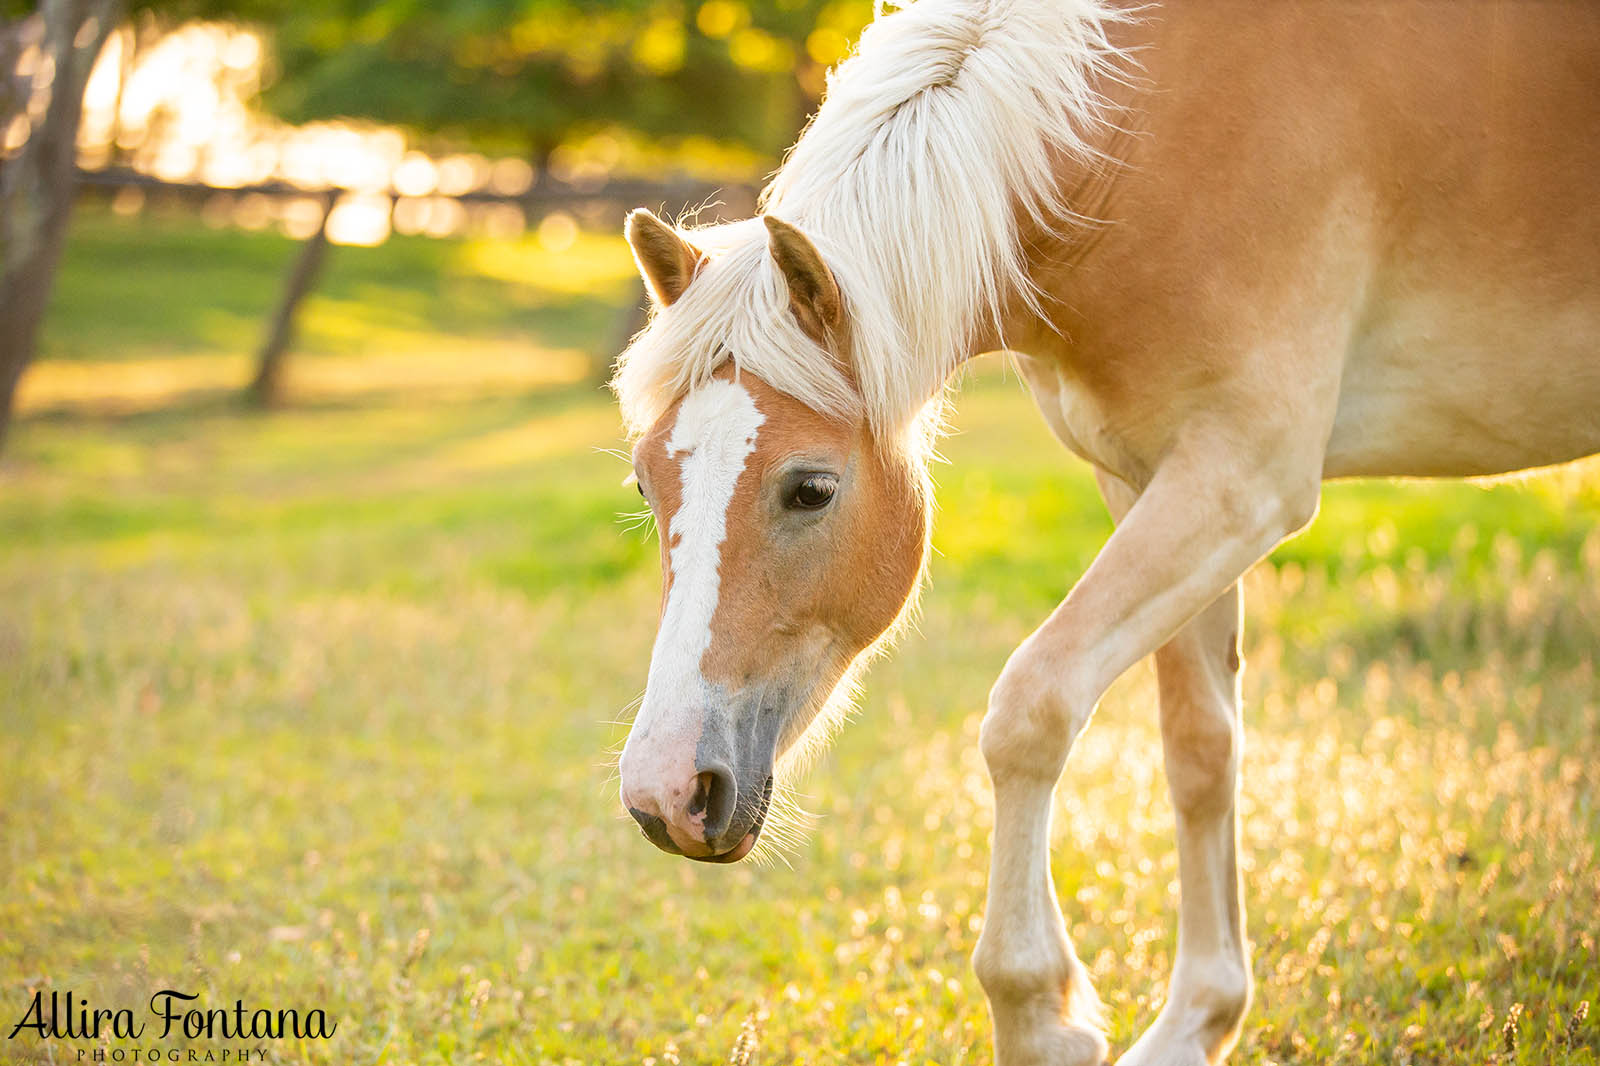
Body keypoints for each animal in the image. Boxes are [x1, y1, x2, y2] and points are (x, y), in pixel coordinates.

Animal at [604, 2, 1593, 1056]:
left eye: (811, 490)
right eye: (646, 484)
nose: (665, 792)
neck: (1128, 139)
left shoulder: (1243, 478)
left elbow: (1032, 706)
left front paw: (1040, 1014)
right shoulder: (1146, 476)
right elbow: (1200, 749)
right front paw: (1197, 1023)